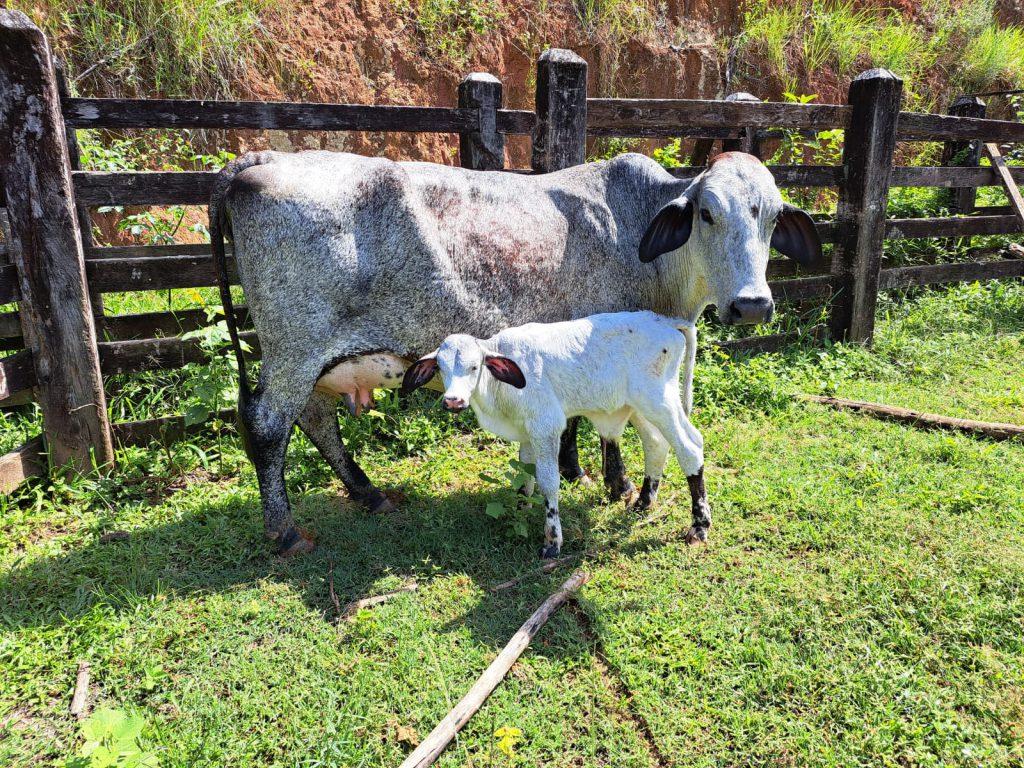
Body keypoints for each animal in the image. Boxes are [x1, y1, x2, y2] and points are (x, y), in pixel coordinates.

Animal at [401, 313, 712, 561]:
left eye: (474, 366)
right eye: (441, 367)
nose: (453, 401)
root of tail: (665, 321)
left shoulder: (546, 426)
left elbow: (548, 483)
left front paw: (552, 541)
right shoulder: (527, 434)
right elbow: (524, 477)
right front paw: (520, 510)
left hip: (659, 401)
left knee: (690, 447)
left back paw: (699, 525)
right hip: (638, 406)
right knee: (656, 444)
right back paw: (644, 502)